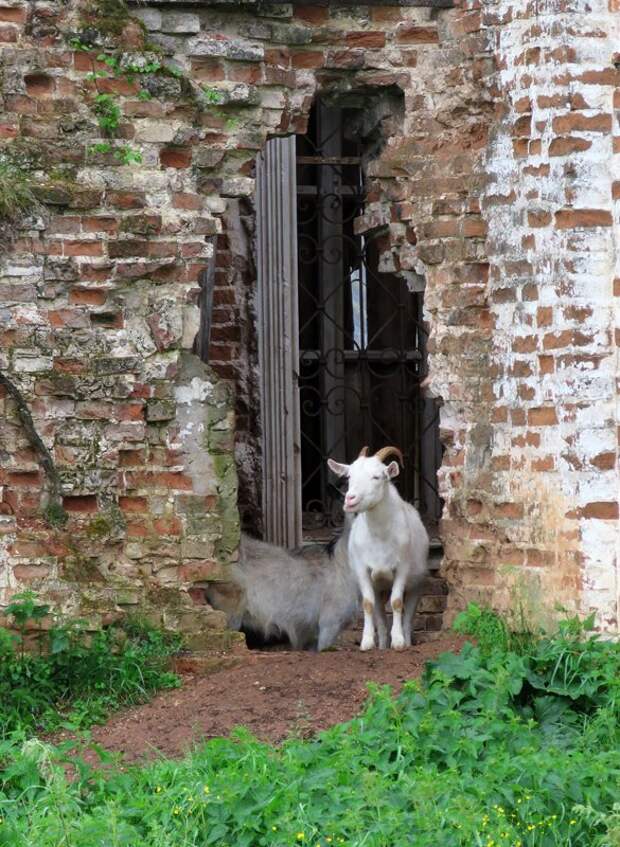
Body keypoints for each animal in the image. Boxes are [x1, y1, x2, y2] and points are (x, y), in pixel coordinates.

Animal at [326, 448, 428, 652]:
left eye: (376, 476)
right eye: (349, 476)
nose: (350, 499)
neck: (380, 536)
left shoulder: (402, 568)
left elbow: (396, 602)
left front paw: (398, 641)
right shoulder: (363, 571)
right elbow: (367, 604)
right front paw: (366, 642)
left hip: (416, 585)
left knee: (408, 618)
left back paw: (406, 640)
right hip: (379, 588)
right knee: (380, 618)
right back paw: (381, 645)